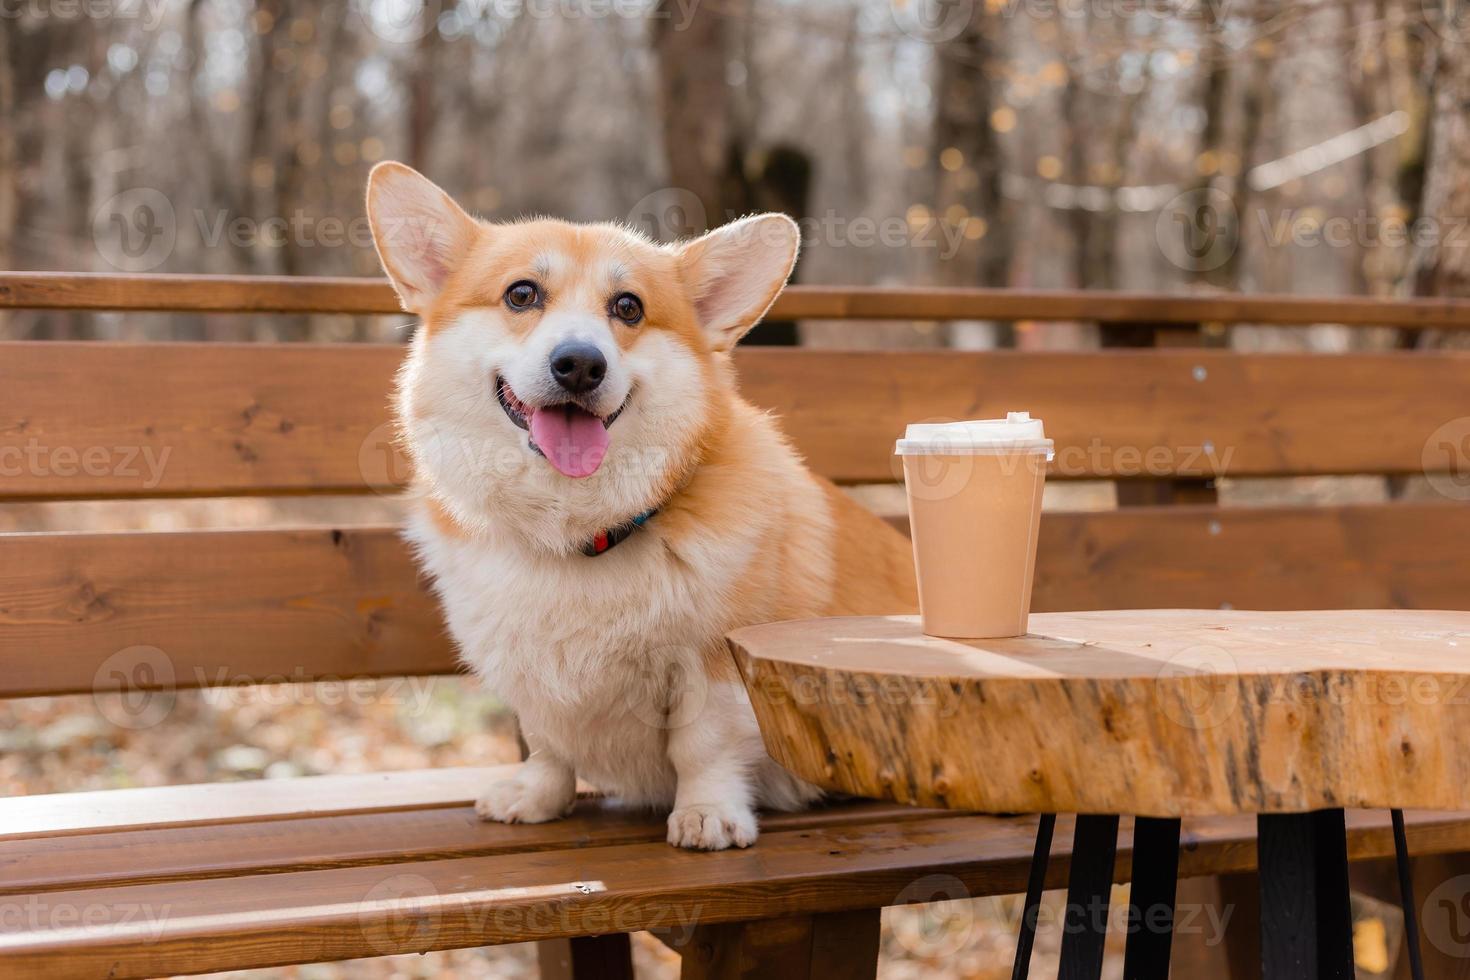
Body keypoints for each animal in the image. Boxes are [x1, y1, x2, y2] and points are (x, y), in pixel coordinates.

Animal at [366, 163, 911, 852]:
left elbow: (702, 748)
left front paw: (707, 814)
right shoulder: (529, 679)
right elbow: (547, 745)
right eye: (521, 295)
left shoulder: (716, 667)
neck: (578, 530)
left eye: (628, 308)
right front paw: (537, 796)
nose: (579, 364)